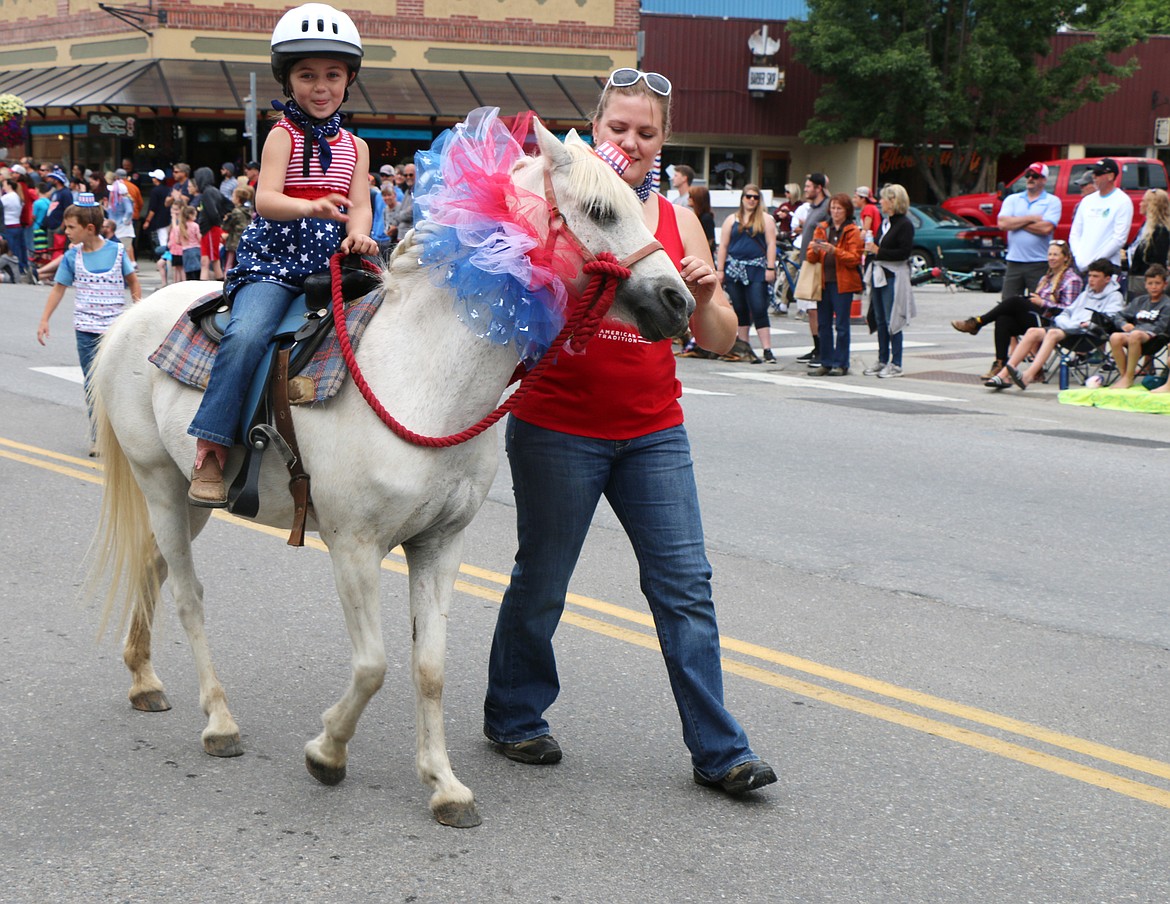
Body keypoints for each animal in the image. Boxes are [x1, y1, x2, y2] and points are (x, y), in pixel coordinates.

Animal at [91, 119, 692, 823]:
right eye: (600, 210)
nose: (680, 300)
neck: (422, 373)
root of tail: (132, 317)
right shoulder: (353, 546)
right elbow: (373, 665)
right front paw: (327, 752)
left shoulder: (439, 544)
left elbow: (428, 667)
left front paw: (445, 785)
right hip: (161, 484)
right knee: (188, 595)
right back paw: (219, 722)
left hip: (189, 502)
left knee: (152, 566)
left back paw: (144, 679)